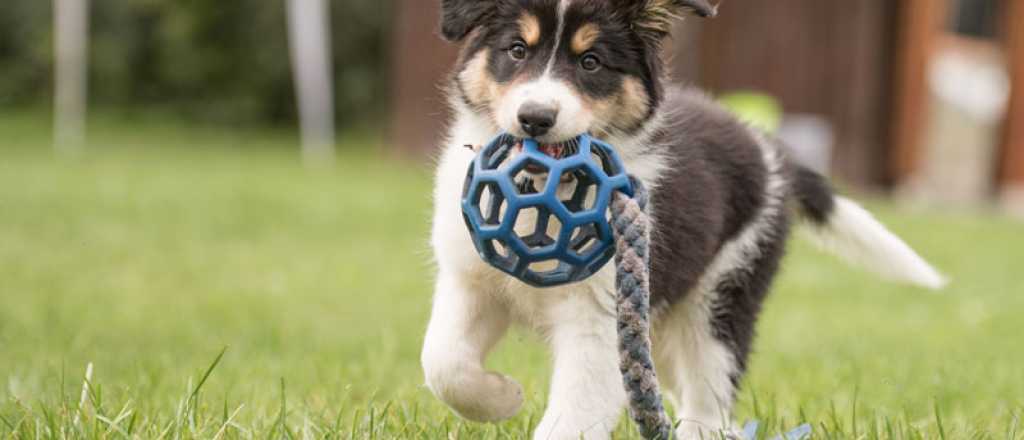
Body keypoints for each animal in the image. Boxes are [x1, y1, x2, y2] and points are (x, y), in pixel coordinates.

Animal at [419, 1, 946, 437]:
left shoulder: (598, 317)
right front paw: (504, 397)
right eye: (516, 50)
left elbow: (571, 417)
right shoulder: (470, 278)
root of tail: (770, 152)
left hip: (721, 297)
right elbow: (442, 362)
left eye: (590, 62)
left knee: (709, 403)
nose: (534, 118)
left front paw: (509, 400)